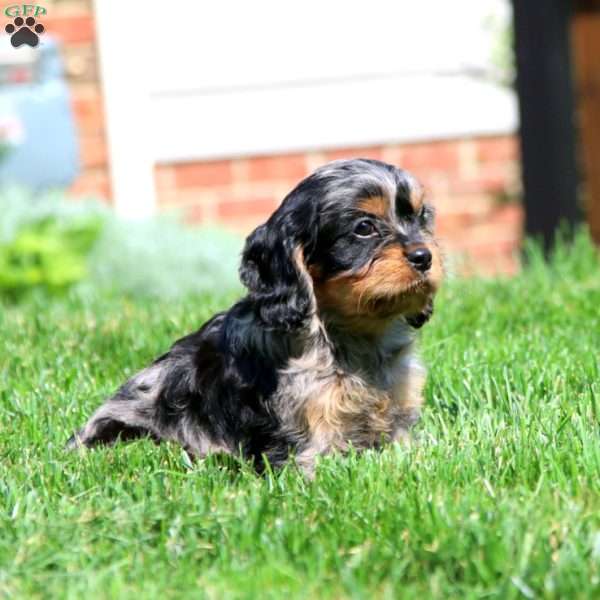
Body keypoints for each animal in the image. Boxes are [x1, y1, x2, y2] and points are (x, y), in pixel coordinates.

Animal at [68, 158, 442, 474]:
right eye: (364, 228)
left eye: (420, 217)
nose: (424, 256)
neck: (353, 334)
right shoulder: (310, 442)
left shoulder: (399, 420)